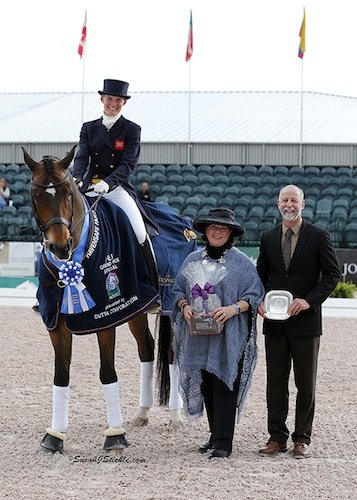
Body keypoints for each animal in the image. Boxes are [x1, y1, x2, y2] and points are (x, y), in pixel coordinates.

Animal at [22, 147, 195, 454]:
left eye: (67, 193)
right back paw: (141, 413)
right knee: (146, 350)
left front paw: (115, 435)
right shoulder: (56, 324)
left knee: (172, 354)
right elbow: (61, 375)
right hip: (137, 310)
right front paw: (54, 436)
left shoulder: (107, 319)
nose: (59, 246)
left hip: (170, 309)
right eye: (35, 194)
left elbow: (107, 373)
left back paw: (175, 417)